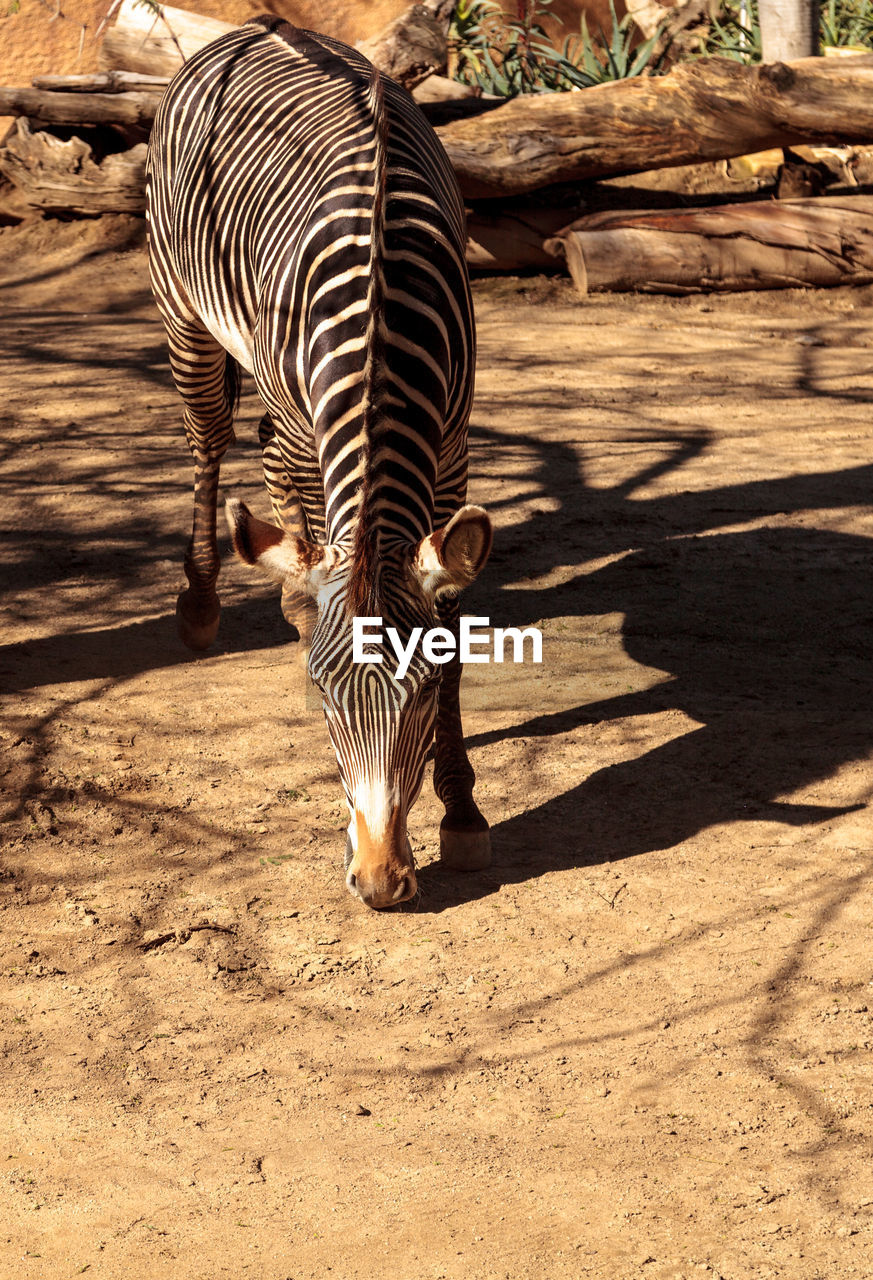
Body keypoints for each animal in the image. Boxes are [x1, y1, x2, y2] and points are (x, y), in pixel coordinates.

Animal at [145, 15, 494, 906]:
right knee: (213, 444)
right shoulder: (316, 429)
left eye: (422, 690)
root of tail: (256, 26)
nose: (380, 885)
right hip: (187, 317)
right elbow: (306, 528)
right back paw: (206, 605)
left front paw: (462, 811)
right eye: (321, 692)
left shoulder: (452, 446)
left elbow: (449, 615)